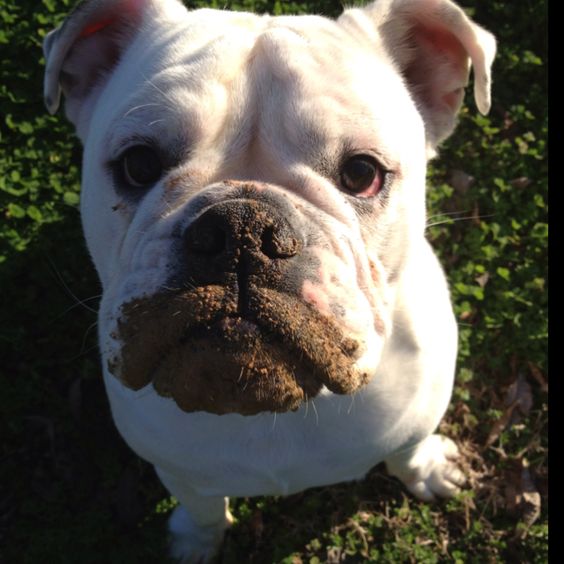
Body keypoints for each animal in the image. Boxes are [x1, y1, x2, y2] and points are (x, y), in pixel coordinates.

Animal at [44, 0, 494, 560]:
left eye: (363, 173)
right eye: (138, 164)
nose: (242, 228)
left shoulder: (417, 416)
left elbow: (409, 451)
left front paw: (428, 470)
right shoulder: (179, 472)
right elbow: (203, 508)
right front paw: (196, 541)